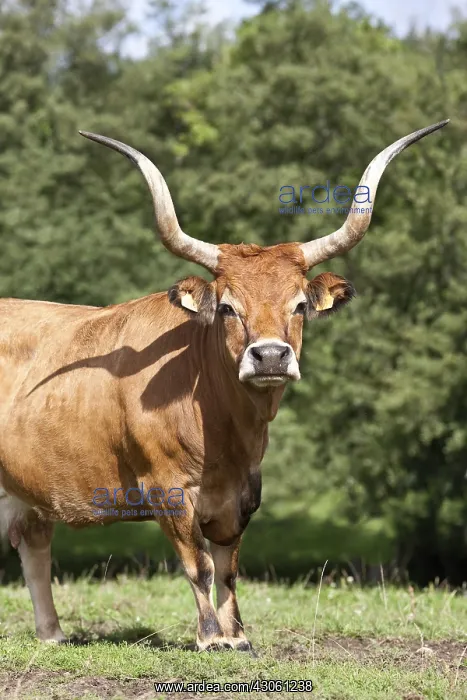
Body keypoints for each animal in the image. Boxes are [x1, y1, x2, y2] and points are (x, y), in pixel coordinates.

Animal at [0, 120, 447, 652]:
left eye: (300, 305)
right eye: (229, 307)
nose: (271, 355)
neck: (225, 432)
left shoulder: (243, 491)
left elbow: (229, 566)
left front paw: (238, 636)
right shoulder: (167, 488)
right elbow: (199, 566)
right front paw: (212, 637)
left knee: (34, 546)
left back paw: (52, 636)